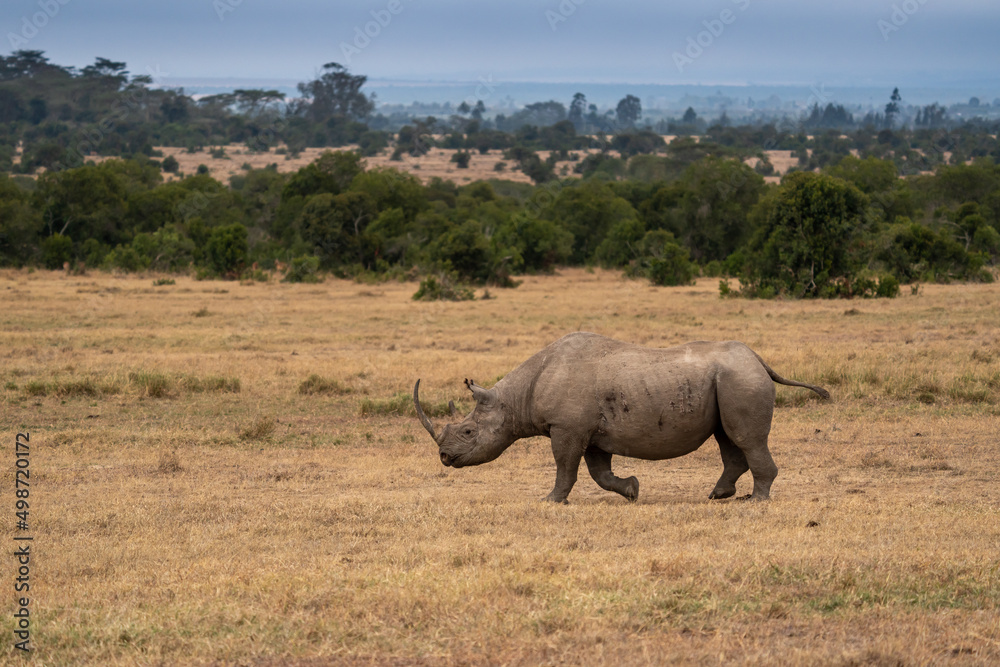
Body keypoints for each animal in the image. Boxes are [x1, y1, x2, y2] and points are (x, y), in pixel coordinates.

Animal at [413, 332, 829, 503]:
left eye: (469, 432)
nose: (444, 458)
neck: (514, 398)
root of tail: (759, 359)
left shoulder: (567, 427)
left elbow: (565, 467)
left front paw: (550, 500)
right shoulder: (589, 430)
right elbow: (599, 472)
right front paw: (632, 491)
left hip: (739, 378)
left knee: (745, 438)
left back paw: (757, 501)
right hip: (730, 379)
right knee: (728, 438)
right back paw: (719, 496)